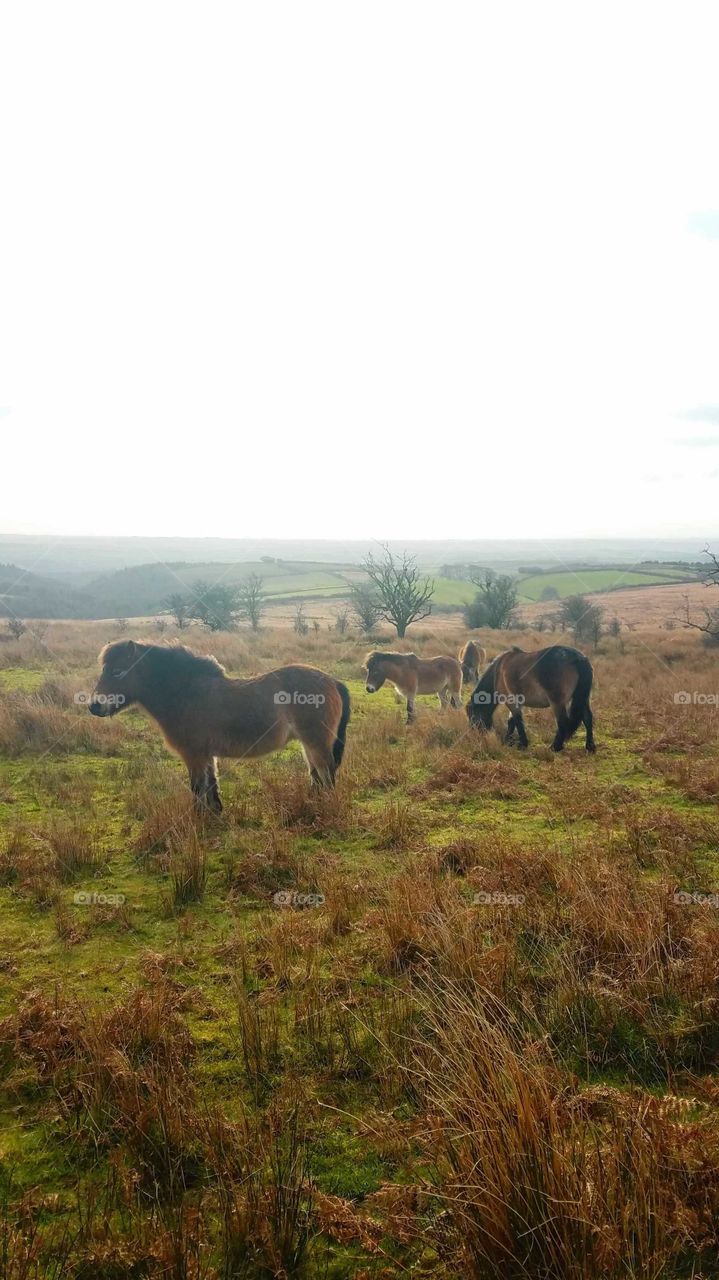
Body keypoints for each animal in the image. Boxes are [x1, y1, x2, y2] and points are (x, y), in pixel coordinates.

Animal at [88, 640, 351, 812]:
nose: (94, 706)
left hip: (317, 743)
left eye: (118, 671)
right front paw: (216, 813)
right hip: (309, 745)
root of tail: (332, 681)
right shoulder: (206, 755)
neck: (186, 694)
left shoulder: (193, 755)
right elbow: (211, 785)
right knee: (317, 776)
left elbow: (198, 788)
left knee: (326, 776)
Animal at [467, 644, 595, 752]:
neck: (498, 672)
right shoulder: (517, 702)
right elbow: (512, 721)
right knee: (587, 718)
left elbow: (517, 721)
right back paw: (590, 746)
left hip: (557, 702)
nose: (475, 735)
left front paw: (522, 744)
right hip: (582, 699)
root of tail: (578, 658)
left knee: (562, 721)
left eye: (472, 715)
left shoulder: (511, 701)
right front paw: (508, 740)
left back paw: (555, 747)